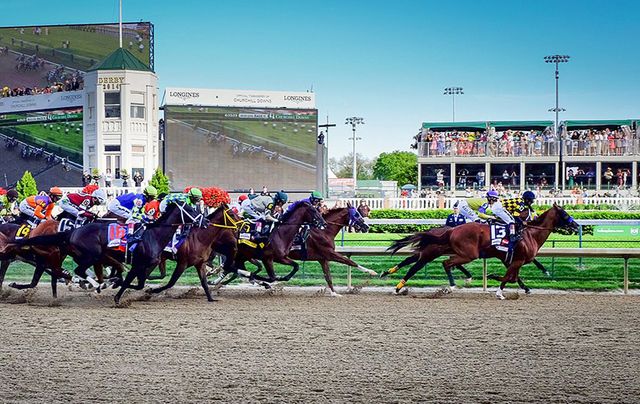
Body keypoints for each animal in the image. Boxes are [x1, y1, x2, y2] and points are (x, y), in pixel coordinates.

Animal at [384, 207, 580, 298]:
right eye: (564, 213)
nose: (576, 225)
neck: (529, 233)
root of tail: (451, 230)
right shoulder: (515, 259)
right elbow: (510, 277)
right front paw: (498, 289)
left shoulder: (510, 259)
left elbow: (514, 277)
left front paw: (525, 286)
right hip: (463, 253)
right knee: (435, 263)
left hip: (439, 250)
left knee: (414, 260)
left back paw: (391, 276)